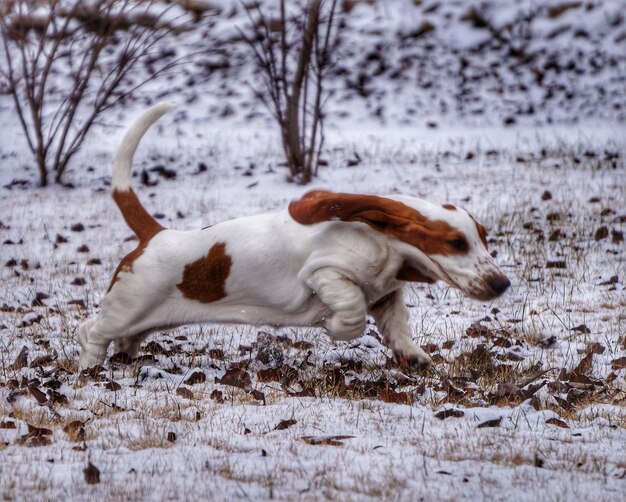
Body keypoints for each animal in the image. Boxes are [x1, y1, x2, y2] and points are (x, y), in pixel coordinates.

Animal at [77, 103, 508, 368]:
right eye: (456, 243)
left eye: (484, 238)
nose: (502, 284)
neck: (384, 244)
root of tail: (155, 235)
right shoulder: (324, 273)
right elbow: (352, 312)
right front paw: (337, 329)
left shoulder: (388, 295)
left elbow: (397, 323)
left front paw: (413, 356)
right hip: (126, 307)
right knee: (91, 331)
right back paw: (90, 368)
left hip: (142, 322)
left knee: (126, 340)